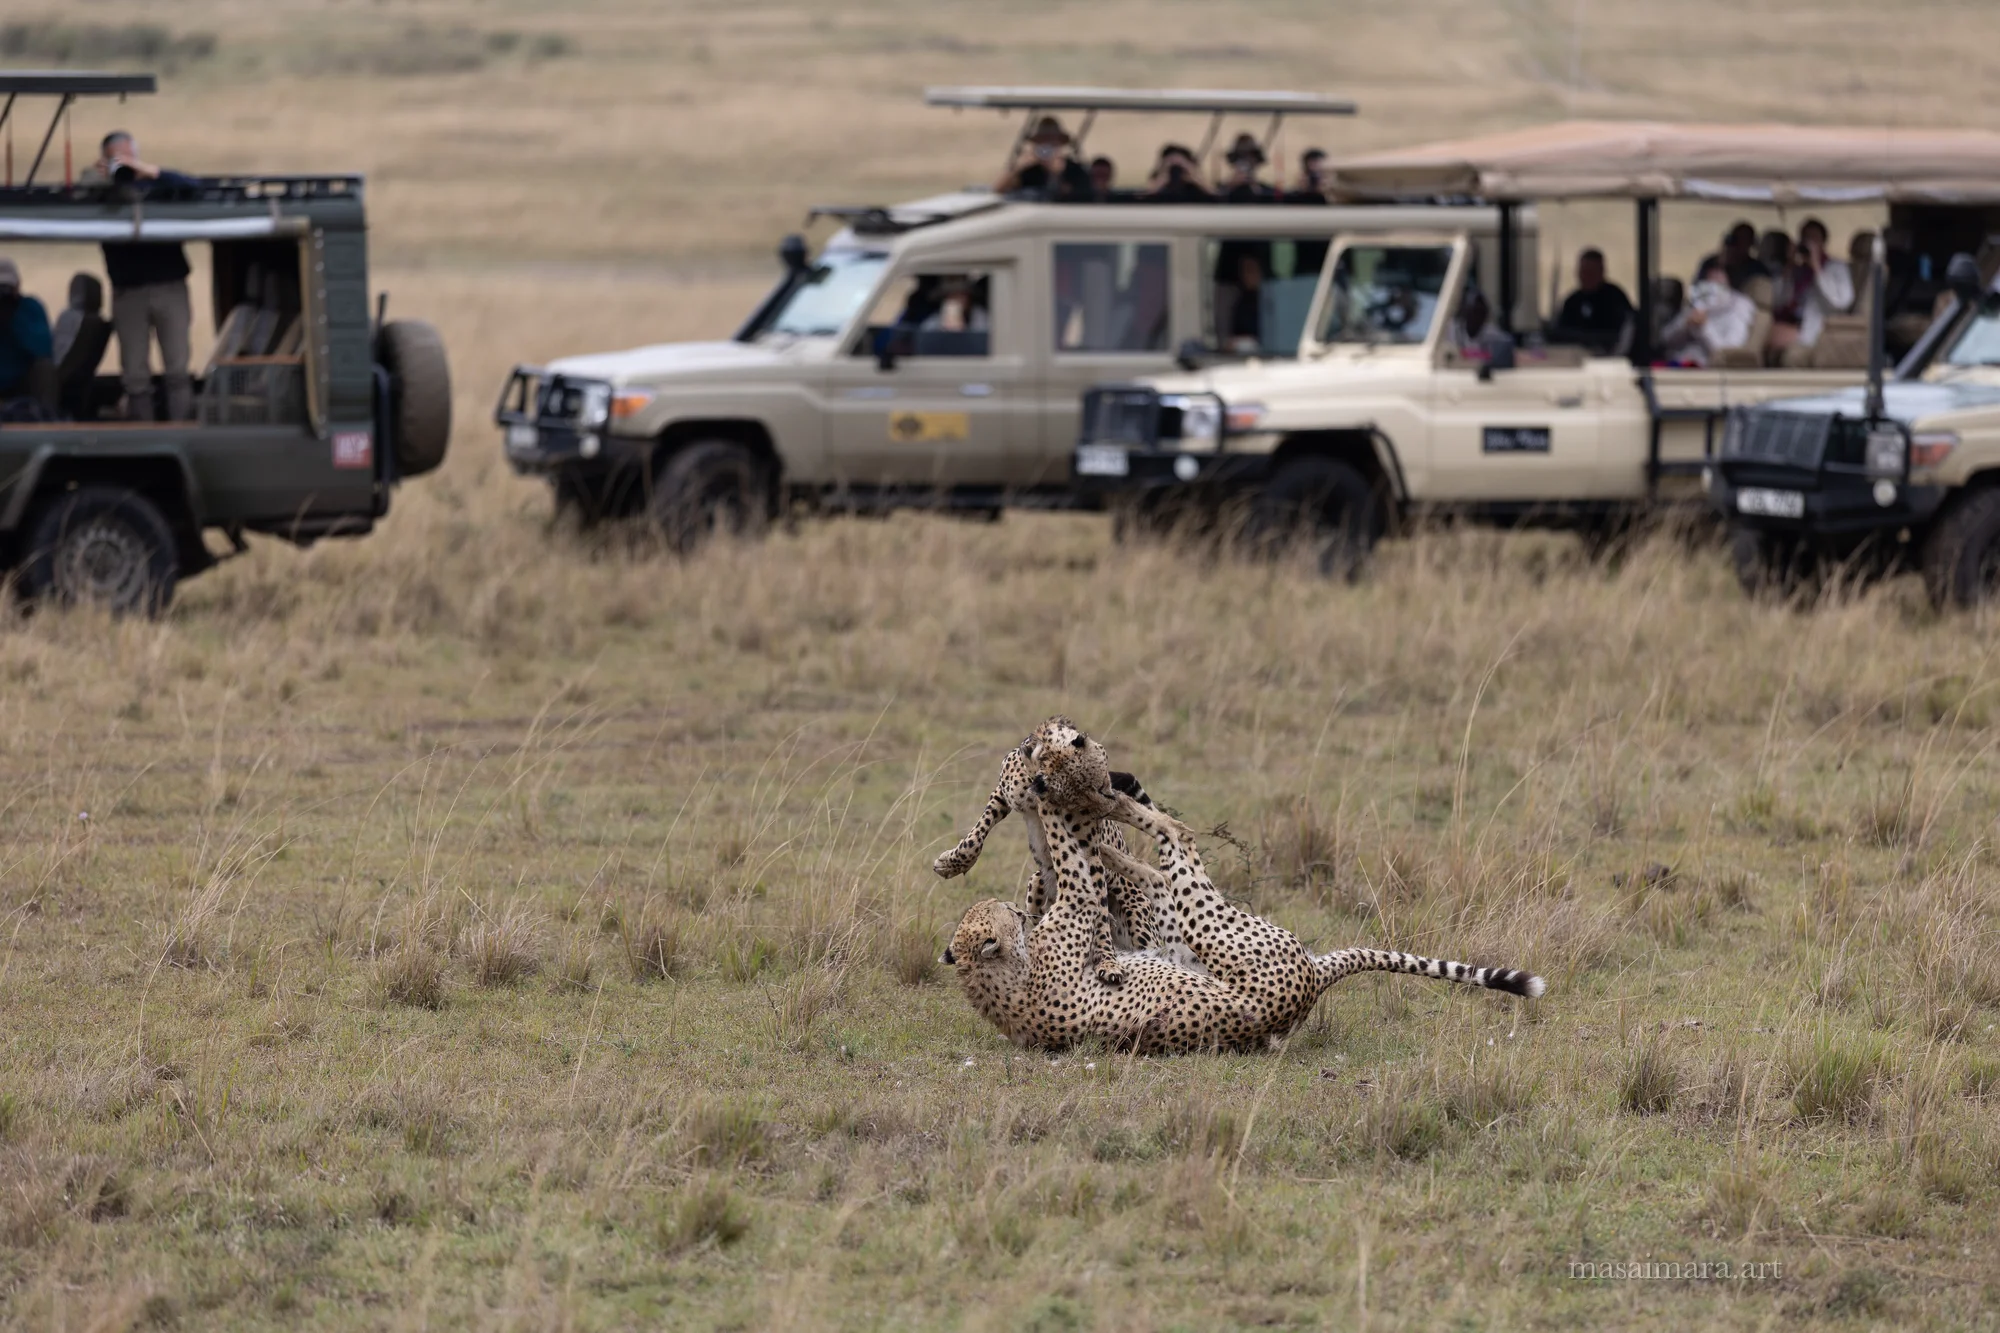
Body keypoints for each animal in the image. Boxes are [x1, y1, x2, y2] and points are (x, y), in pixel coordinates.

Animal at [942, 718, 1544, 1055]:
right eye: (1005, 916)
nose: (1018, 911)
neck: (1002, 985)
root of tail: (1311, 981)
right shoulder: (1077, 902)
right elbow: (1073, 857)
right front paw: (1060, 791)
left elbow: (1068, 847)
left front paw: (1065, 785)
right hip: (1210, 921)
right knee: (1175, 839)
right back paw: (1115, 822)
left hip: (1180, 931)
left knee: (1159, 858)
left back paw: (1113, 821)